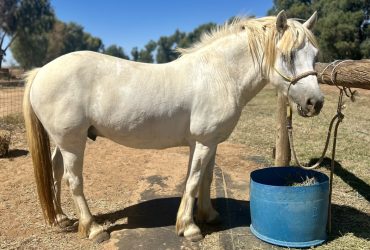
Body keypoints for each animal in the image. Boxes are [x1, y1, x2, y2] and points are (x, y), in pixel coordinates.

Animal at [23, 11, 324, 242]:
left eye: (314, 54)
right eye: (288, 55)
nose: (315, 102)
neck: (220, 75)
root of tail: (41, 71)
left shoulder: (208, 142)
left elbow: (205, 179)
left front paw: (208, 215)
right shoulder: (203, 142)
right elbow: (192, 181)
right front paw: (189, 228)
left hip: (63, 142)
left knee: (55, 171)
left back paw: (61, 218)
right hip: (73, 142)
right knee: (73, 180)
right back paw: (94, 229)